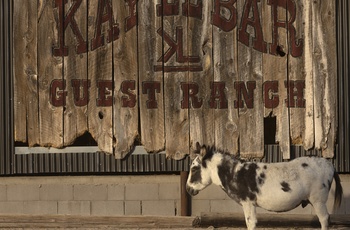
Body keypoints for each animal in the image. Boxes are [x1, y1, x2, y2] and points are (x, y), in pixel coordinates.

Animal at [186, 143, 342, 229]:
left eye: (194, 169)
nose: (187, 189)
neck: (235, 173)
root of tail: (329, 164)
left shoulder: (247, 202)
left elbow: (250, 223)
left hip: (318, 200)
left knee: (324, 219)